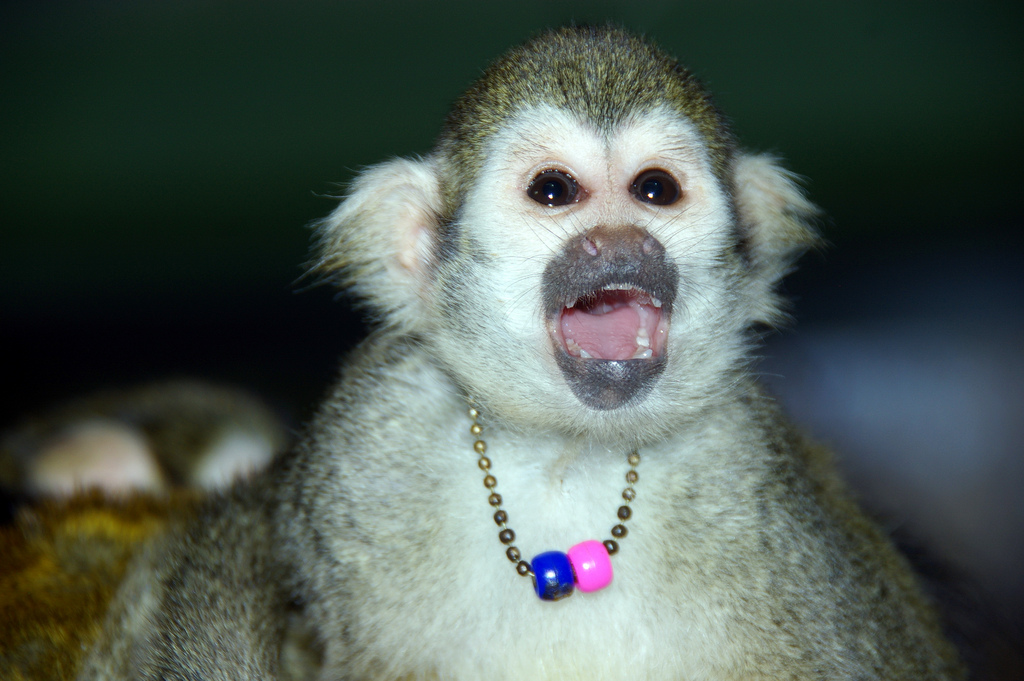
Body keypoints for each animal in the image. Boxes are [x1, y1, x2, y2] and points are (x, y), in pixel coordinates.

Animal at [33, 26, 965, 680]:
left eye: (654, 190)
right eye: (555, 192)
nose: (620, 242)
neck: (564, 456)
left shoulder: (762, 490)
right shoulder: (364, 447)